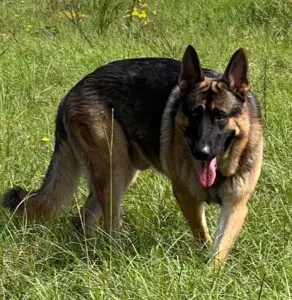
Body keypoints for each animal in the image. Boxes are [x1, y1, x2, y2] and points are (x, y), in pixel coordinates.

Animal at [2, 45, 262, 268]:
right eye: (194, 115)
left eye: (220, 116)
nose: (202, 152)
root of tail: (70, 94)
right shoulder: (186, 197)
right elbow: (204, 238)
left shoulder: (236, 206)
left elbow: (218, 250)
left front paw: (212, 276)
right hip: (113, 172)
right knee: (108, 227)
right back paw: (114, 258)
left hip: (121, 174)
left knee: (85, 216)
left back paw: (90, 252)